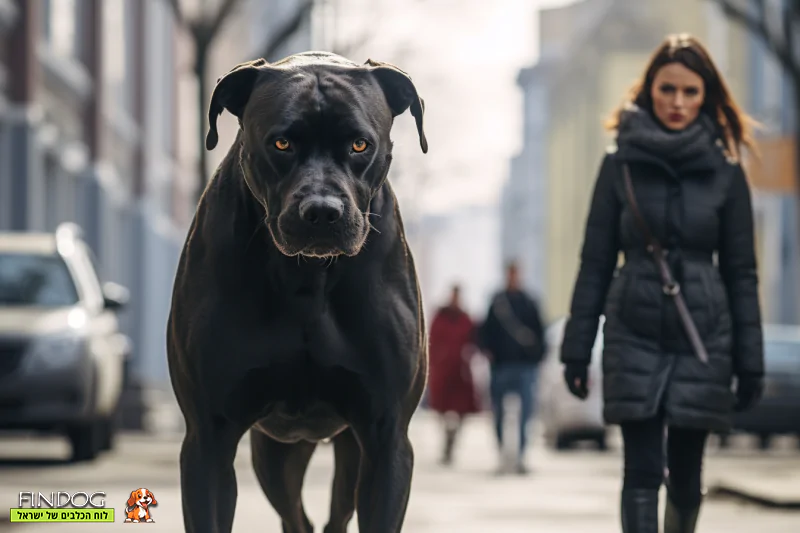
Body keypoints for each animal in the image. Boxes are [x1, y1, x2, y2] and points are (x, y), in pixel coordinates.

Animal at [167, 51, 432, 532]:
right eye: (281, 144)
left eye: (360, 145)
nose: (322, 211)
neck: (307, 278)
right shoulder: (208, 440)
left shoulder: (386, 438)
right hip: (275, 453)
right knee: (297, 517)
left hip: (350, 452)